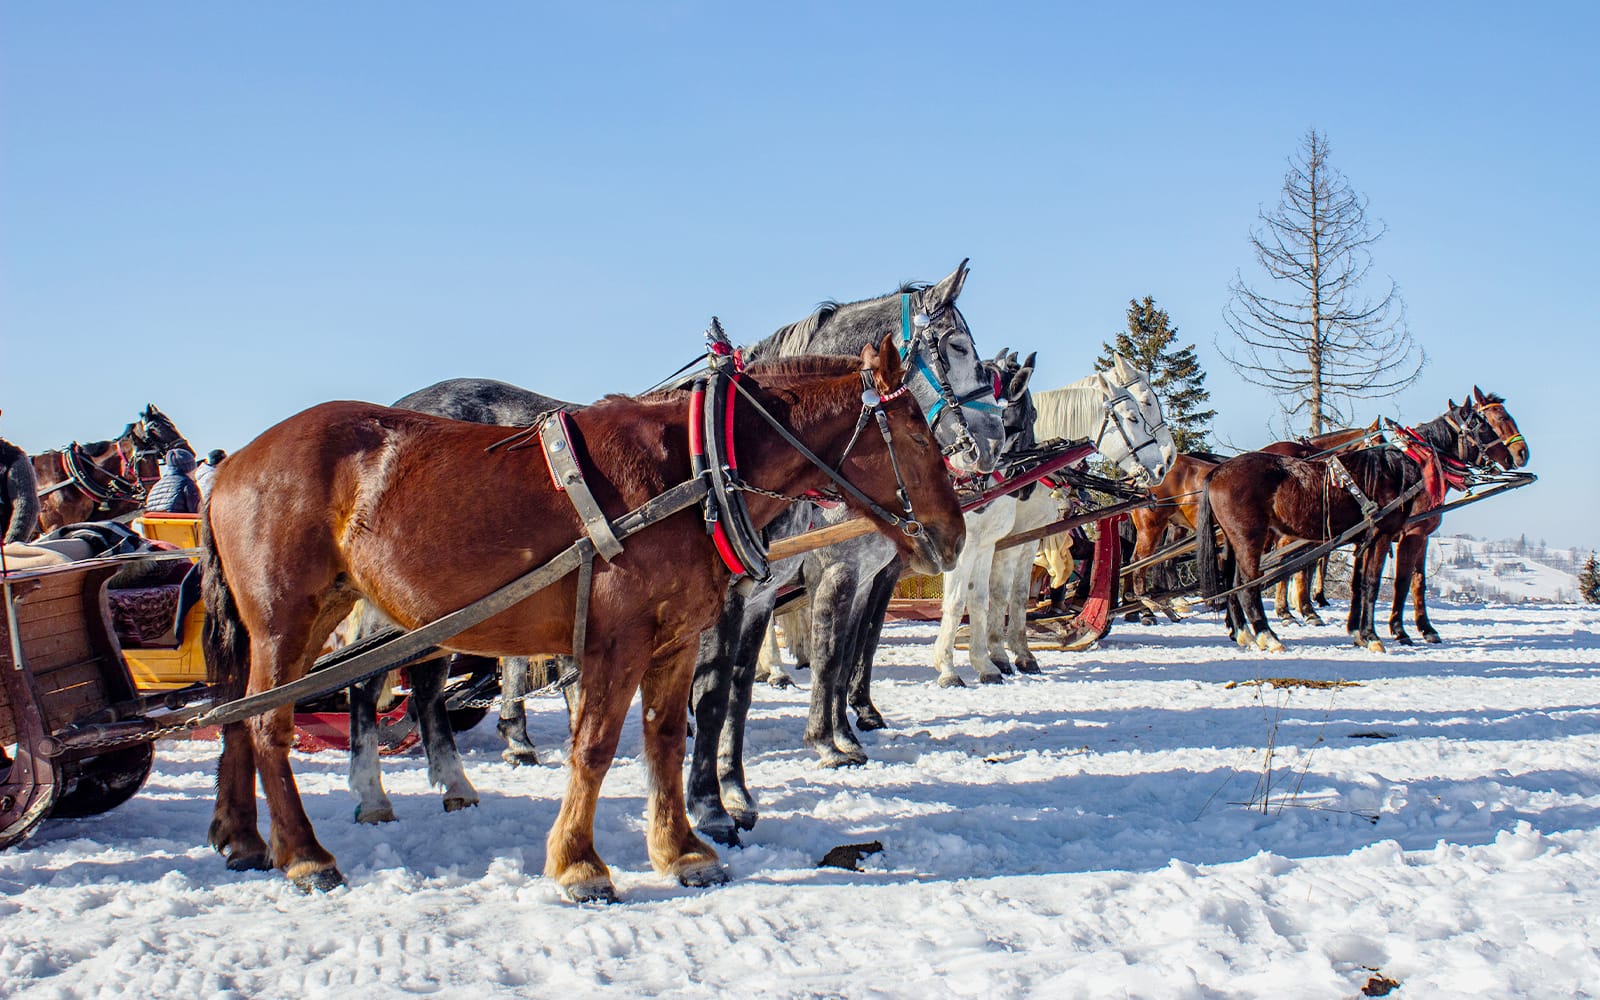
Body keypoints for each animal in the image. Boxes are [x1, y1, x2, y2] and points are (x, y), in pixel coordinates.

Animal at [202, 344, 967, 899]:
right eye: (917, 432)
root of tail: (234, 463)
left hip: (317, 610)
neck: (693, 470)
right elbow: (596, 747)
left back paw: (245, 837)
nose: (954, 534)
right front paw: (579, 864)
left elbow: (666, 741)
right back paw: (307, 854)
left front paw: (682, 851)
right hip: (285, 616)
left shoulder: (676, 639)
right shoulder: (616, 641)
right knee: (271, 723)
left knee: (237, 711)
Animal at [687, 261, 1006, 845]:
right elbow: (818, 655)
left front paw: (836, 737)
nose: (992, 443)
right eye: (957, 346)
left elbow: (837, 654)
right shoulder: (831, 573)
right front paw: (826, 743)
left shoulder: (837, 579)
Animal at [1194, 400, 1507, 654]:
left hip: (1236, 541)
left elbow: (1359, 584)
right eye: (1483, 426)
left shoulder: (1364, 539)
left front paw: (1359, 633)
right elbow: (1372, 583)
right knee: (1248, 587)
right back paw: (1268, 636)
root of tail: (1218, 471)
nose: (1511, 456)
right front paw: (1375, 636)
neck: (1398, 468)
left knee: (1233, 585)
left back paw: (1245, 633)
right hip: (1250, 539)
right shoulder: (1384, 535)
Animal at [1386, 388, 1527, 645]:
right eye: (1499, 419)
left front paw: (1427, 628)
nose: (1521, 453)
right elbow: (1401, 582)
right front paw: (1399, 630)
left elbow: (1418, 582)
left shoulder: (1423, 536)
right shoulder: (1411, 534)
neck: (1421, 466)